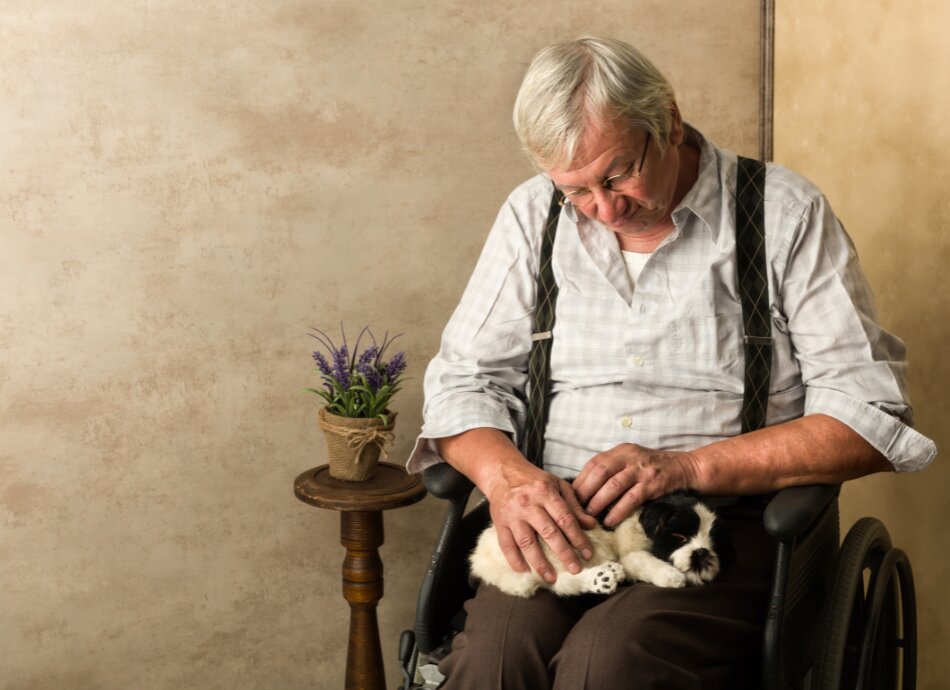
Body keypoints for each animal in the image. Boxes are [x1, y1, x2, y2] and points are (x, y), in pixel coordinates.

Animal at [468, 490, 736, 596]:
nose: (702, 552)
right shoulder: (630, 552)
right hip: (554, 545)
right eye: (679, 537)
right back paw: (603, 576)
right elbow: (645, 561)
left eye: (715, 544)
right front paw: (671, 576)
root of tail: (481, 560)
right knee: (558, 580)